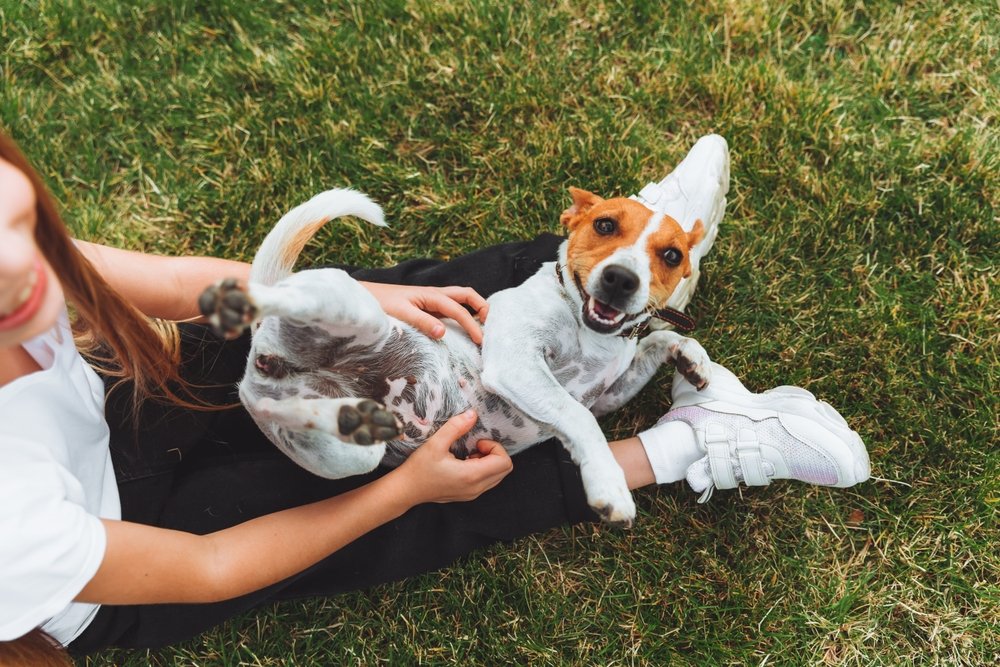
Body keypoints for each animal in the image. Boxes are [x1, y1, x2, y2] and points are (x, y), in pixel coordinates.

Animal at [199, 185, 712, 524]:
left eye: (671, 256)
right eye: (605, 224)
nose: (621, 279)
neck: (592, 333)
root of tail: (266, 353)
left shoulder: (607, 393)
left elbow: (662, 341)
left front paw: (694, 362)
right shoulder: (516, 363)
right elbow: (581, 420)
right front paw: (609, 485)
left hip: (345, 454)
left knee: (278, 408)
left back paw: (341, 412)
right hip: (352, 305)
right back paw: (238, 301)